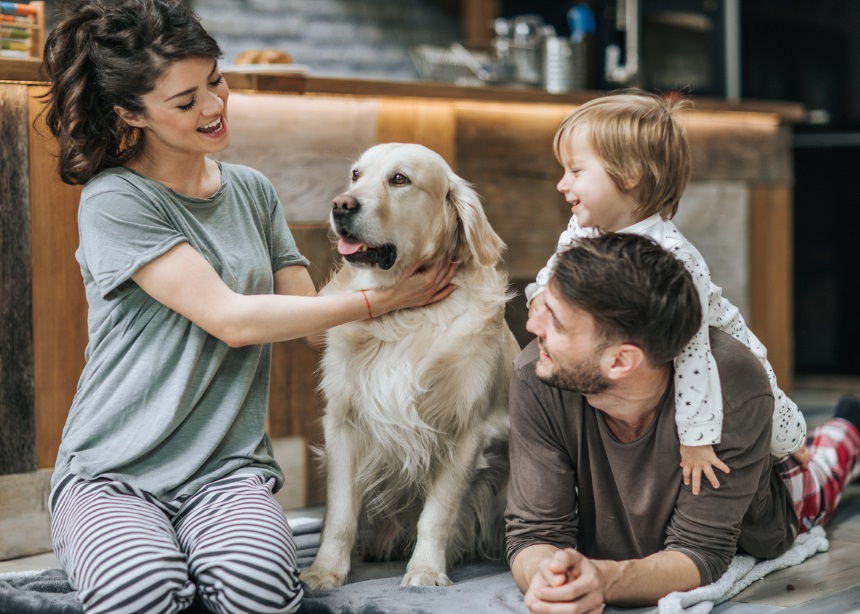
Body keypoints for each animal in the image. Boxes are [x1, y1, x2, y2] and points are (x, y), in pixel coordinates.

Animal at [298, 142, 520, 588]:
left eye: (400, 179)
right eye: (356, 175)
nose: (341, 205)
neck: (402, 317)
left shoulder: (464, 431)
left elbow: (436, 515)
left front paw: (425, 571)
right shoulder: (343, 423)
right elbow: (340, 514)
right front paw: (325, 572)